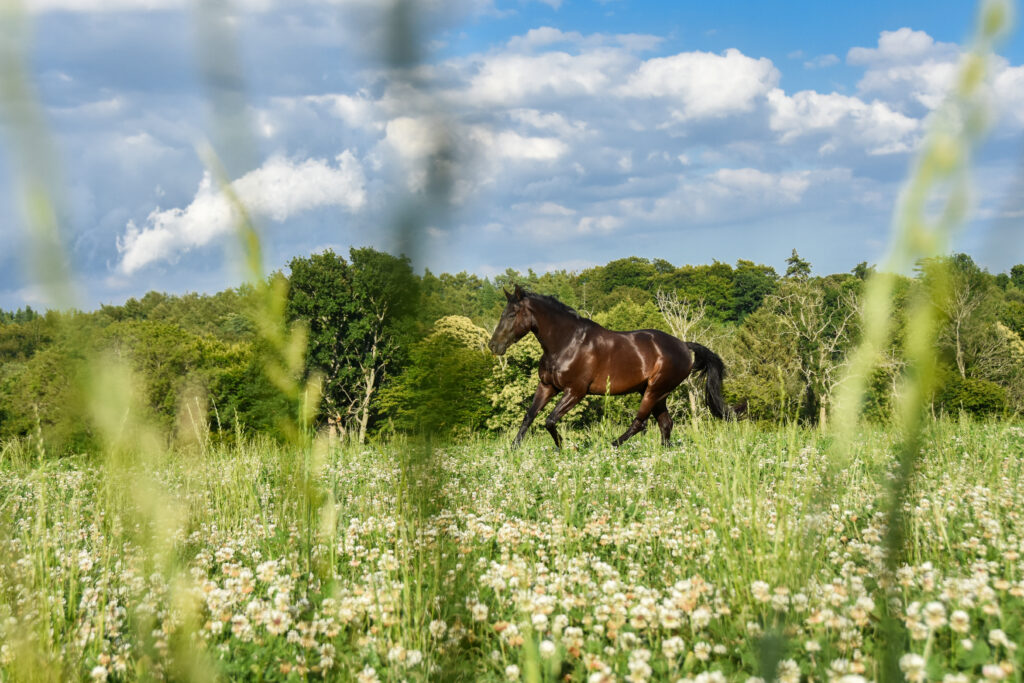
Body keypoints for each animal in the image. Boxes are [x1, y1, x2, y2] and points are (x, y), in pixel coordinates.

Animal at [488, 284, 728, 448]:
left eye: (511, 314)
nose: (493, 346)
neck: (567, 343)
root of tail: (684, 346)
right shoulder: (547, 386)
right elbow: (529, 416)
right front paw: (513, 449)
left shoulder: (576, 391)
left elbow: (549, 420)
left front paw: (564, 447)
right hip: (657, 394)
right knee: (666, 424)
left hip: (654, 390)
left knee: (639, 423)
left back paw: (612, 445)